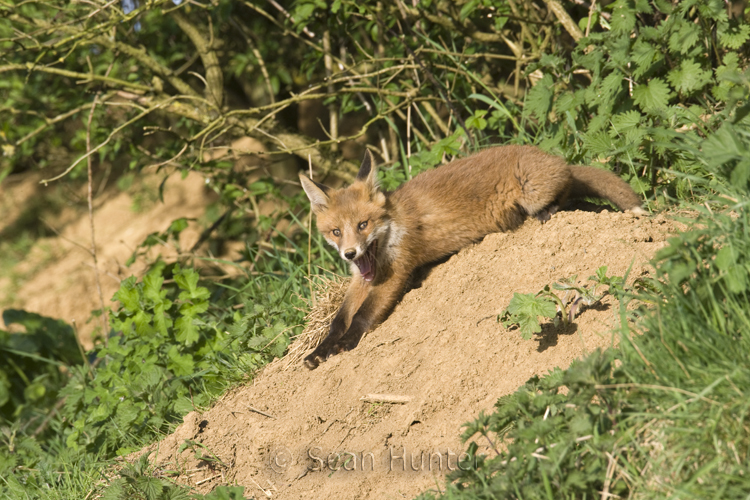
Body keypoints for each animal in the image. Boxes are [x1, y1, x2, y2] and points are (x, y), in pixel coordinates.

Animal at [300, 145, 648, 368]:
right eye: (335, 231)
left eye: (363, 224)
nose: (349, 253)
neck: (394, 222)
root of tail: (553, 157)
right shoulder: (361, 276)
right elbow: (339, 318)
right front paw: (322, 349)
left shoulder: (397, 271)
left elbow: (362, 315)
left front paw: (345, 344)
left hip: (533, 193)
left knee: (567, 198)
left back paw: (550, 211)